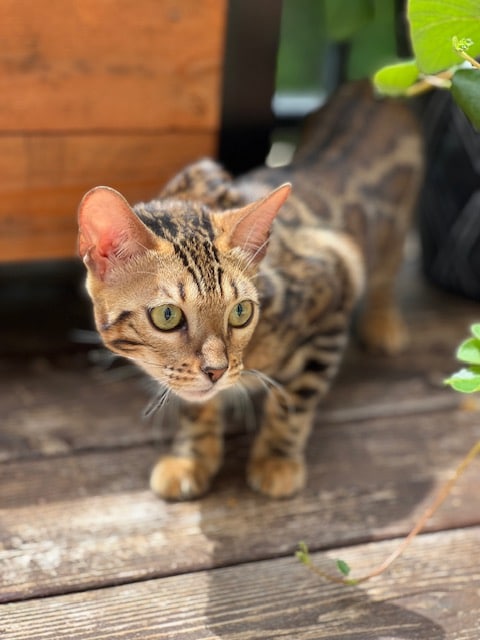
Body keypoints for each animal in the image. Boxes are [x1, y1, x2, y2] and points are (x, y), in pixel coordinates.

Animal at [77, 81, 422, 500]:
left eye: (241, 311)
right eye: (167, 315)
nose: (217, 370)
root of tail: (367, 87)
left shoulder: (334, 292)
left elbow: (295, 400)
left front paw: (276, 459)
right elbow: (195, 405)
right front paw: (193, 458)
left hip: (393, 229)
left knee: (388, 269)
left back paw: (383, 323)